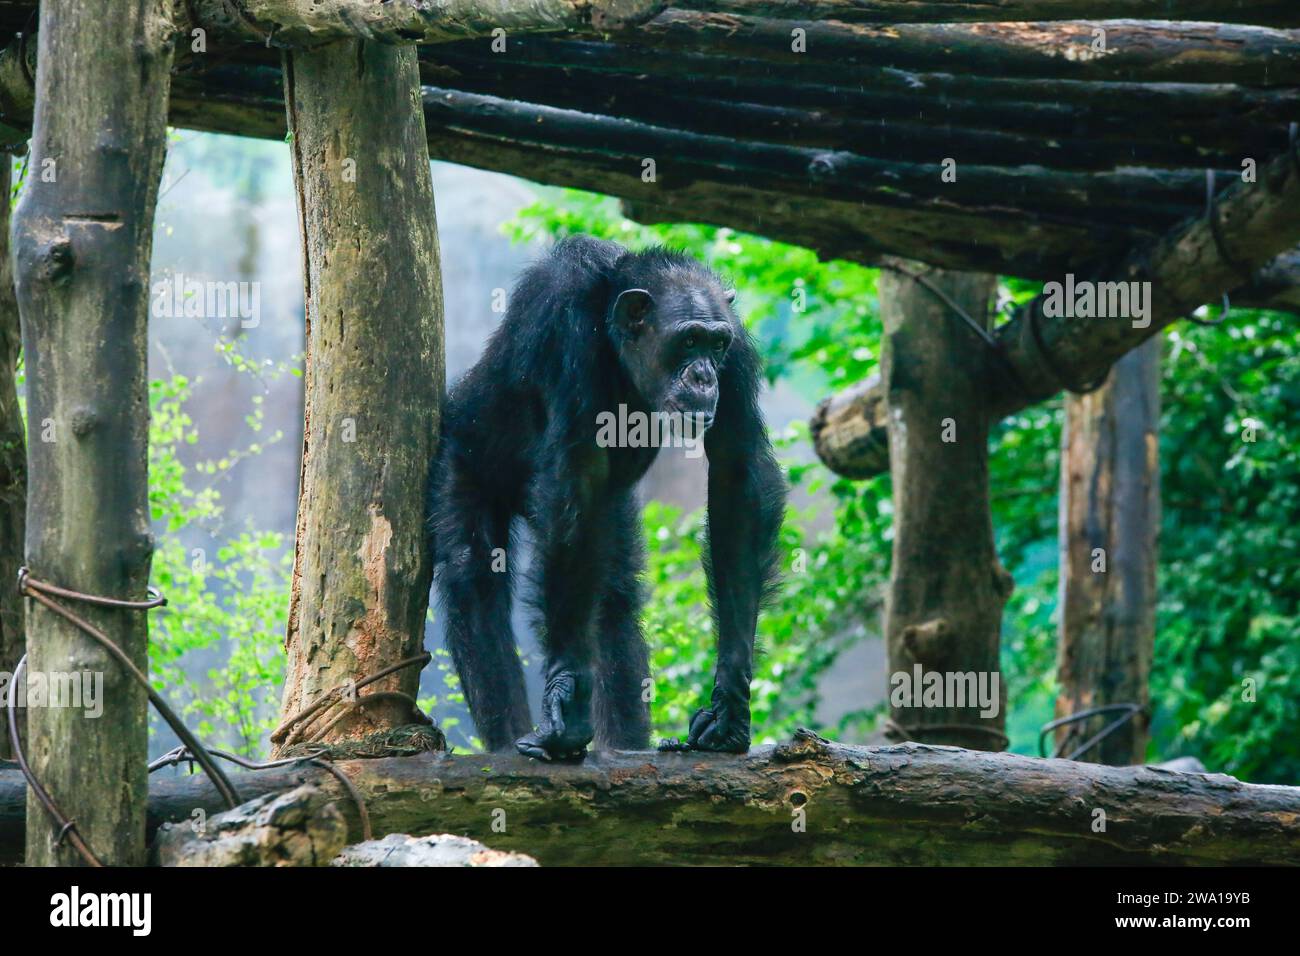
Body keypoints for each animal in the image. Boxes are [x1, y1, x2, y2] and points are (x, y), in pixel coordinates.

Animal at [431, 238, 785, 764]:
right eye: (688, 341)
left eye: (715, 344)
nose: (705, 376)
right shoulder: (566, 332)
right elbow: (576, 481)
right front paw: (567, 694)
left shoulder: (738, 348)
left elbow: (736, 470)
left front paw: (729, 703)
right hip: (462, 454)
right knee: (471, 574)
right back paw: (506, 743)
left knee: (613, 596)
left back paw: (624, 745)